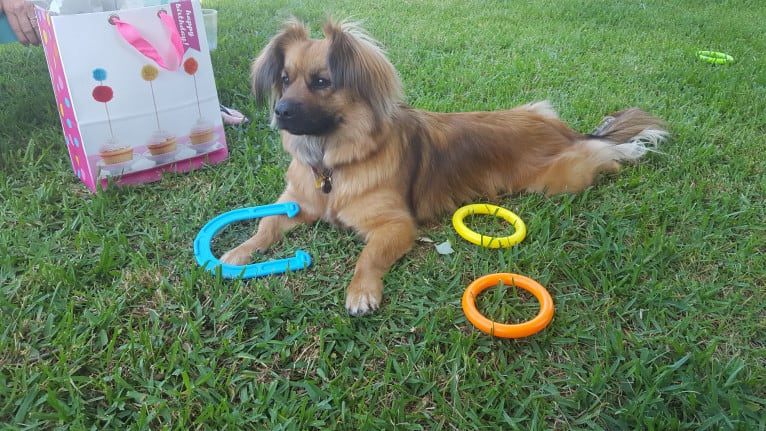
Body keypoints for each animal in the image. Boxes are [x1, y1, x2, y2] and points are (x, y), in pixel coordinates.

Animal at [220, 19, 664, 318]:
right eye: (284, 78)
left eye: (321, 82)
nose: (279, 112)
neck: (332, 163)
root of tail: (564, 130)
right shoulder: (294, 202)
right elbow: (265, 227)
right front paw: (236, 253)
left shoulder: (395, 226)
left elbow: (368, 256)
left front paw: (361, 292)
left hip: (563, 177)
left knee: (604, 155)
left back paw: (624, 151)